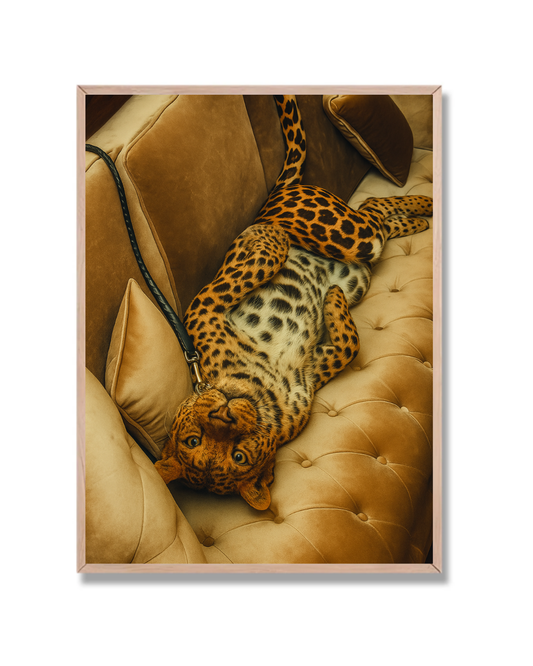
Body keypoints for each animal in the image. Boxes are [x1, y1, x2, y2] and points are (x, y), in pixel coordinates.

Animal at [155, 94, 433, 510]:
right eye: (237, 456)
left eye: (194, 438)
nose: (224, 412)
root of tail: (272, 199)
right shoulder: (314, 372)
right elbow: (349, 345)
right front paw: (332, 300)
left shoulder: (203, 310)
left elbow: (224, 283)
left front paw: (268, 244)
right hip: (359, 246)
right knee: (378, 219)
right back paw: (420, 219)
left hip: (342, 233)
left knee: (373, 208)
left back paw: (424, 204)